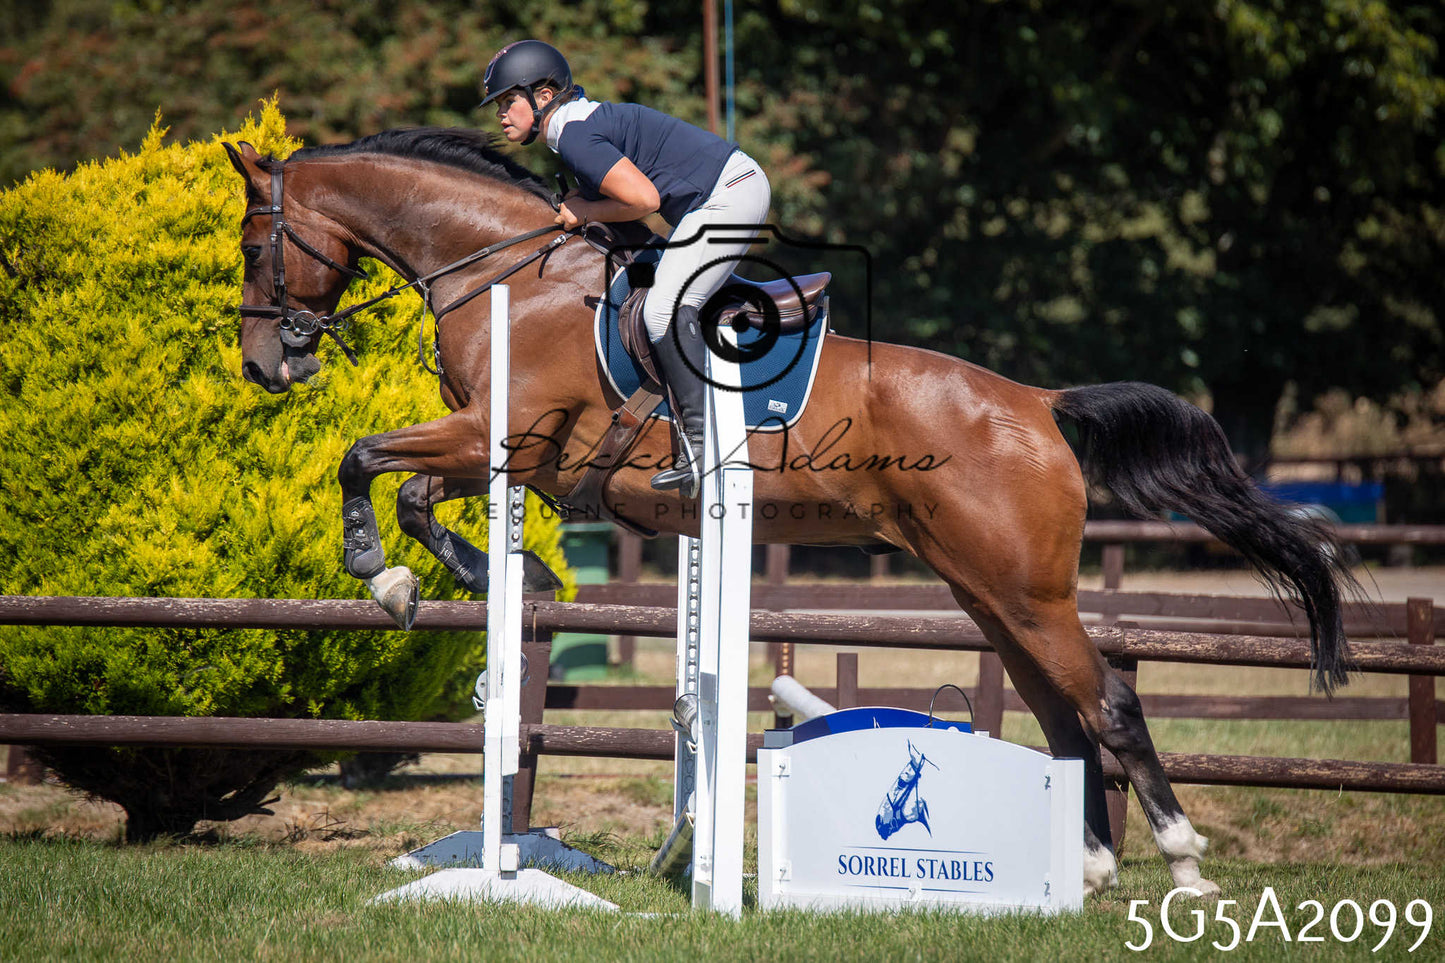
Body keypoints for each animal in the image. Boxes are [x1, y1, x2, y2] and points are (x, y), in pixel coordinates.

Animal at [224, 127, 1355, 898]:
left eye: (253, 245)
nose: (266, 364)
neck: (509, 274)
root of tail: (1037, 402)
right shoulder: (497, 456)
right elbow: (405, 486)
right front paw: (452, 574)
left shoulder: (506, 442)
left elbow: (362, 459)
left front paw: (395, 573)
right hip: (987, 591)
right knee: (1057, 713)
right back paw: (1079, 873)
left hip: (1024, 589)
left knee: (1109, 705)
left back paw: (1182, 863)